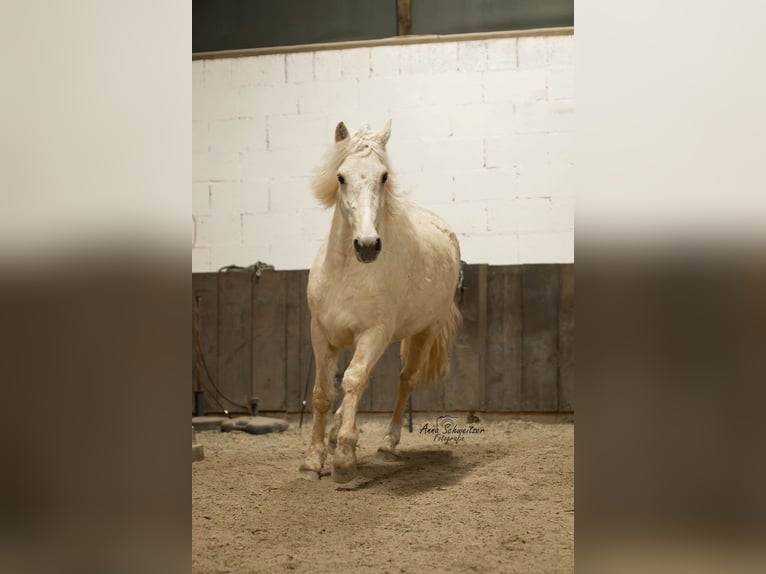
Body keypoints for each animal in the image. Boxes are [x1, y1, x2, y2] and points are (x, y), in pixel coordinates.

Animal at [298, 121, 462, 486]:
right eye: (341, 176)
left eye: (384, 176)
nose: (367, 245)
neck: (347, 273)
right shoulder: (320, 334)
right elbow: (323, 393)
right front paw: (314, 460)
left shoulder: (373, 333)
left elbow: (354, 381)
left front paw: (344, 460)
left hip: (422, 332)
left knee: (405, 380)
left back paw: (388, 443)